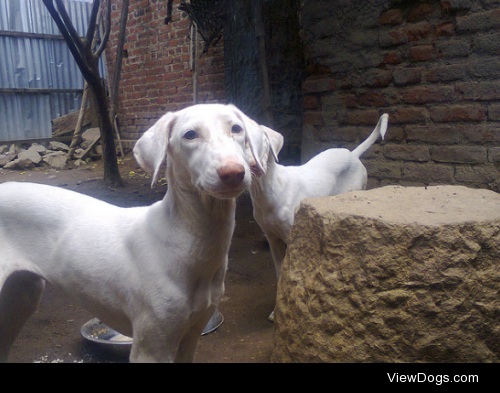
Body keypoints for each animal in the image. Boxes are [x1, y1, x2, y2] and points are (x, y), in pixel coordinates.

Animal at [0, 104, 266, 362]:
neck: (186, 240)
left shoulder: (191, 337)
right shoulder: (151, 347)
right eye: (190, 135)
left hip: (22, 296)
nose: (233, 172)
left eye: (236, 129)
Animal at [248, 114, 388, 318]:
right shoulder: (273, 240)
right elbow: (280, 273)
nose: (254, 166)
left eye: (264, 144)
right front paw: (276, 312)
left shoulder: (292, 237)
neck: (269, 190)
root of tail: (352, 154)